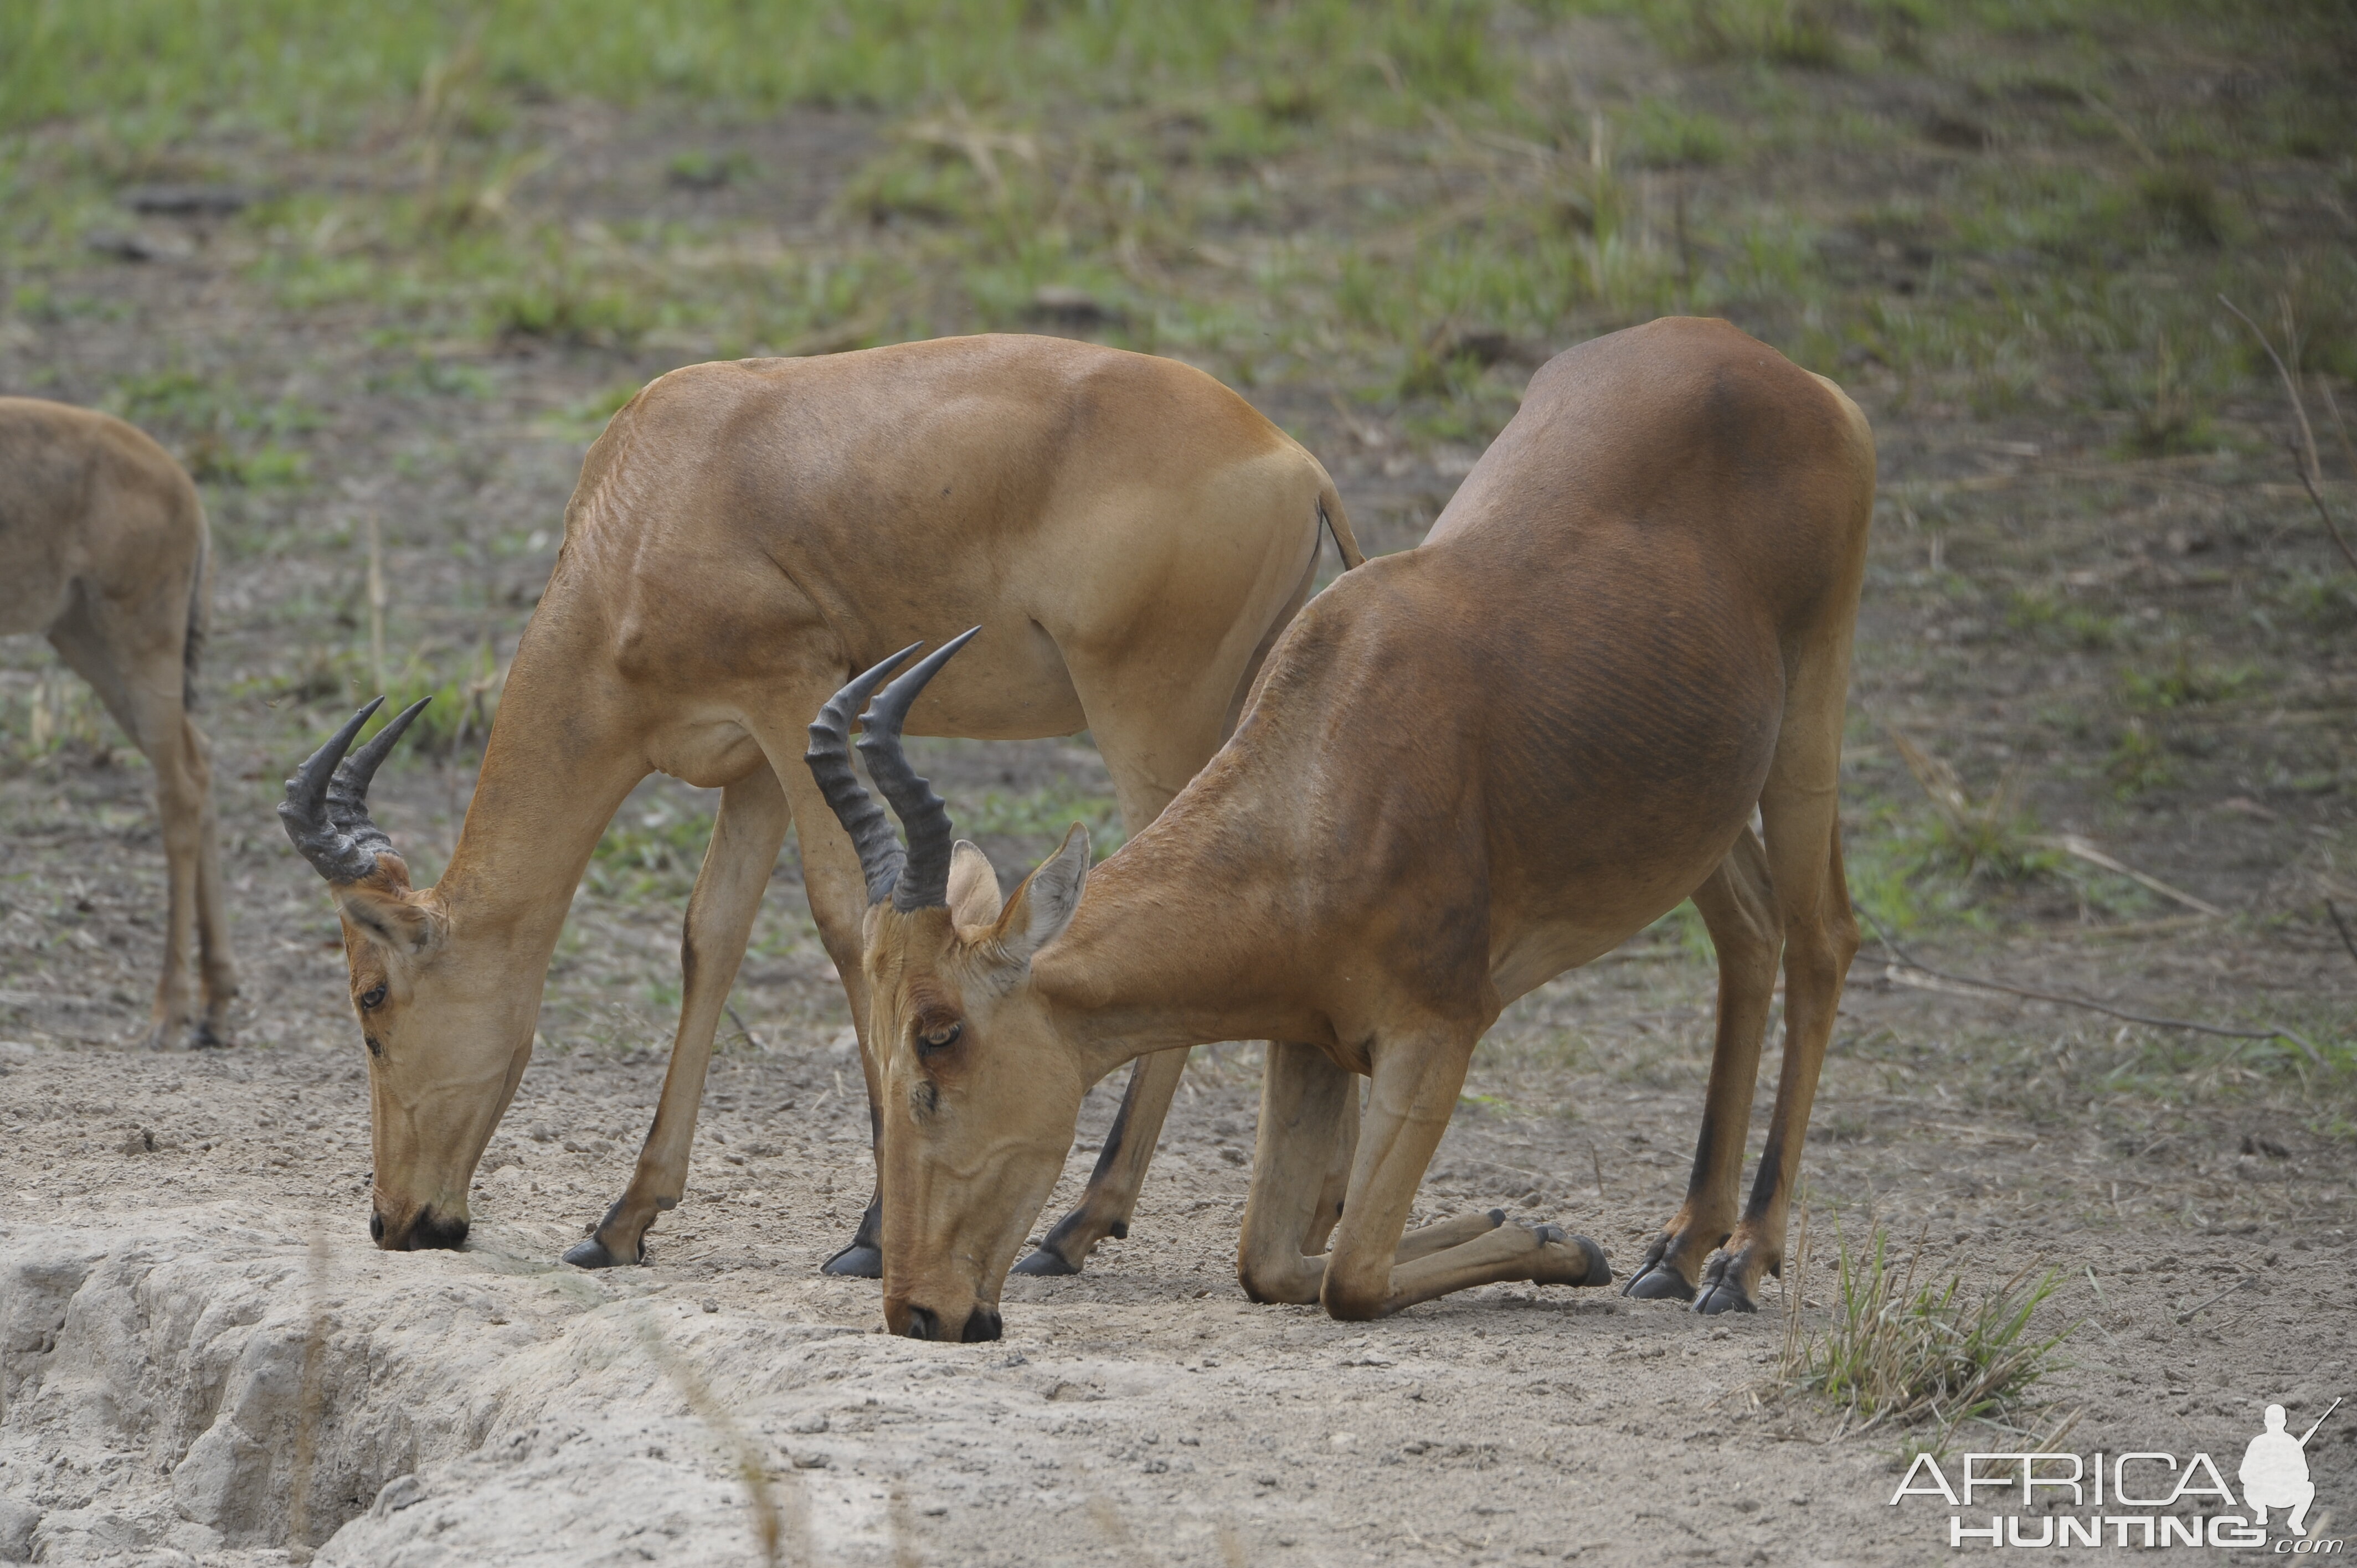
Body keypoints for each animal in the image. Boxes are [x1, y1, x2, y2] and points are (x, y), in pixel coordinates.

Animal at [1, 398, 235, 1046]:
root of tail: (182, 484)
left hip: (137, 643)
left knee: (181, 784)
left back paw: (170, 1010)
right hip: (86, 643)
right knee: (202, 756)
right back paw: (214, 1005)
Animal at [275, 337, 1367, 1263]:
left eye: (371, 998)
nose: (397, 1221)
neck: (660, 487)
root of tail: (1294, 460)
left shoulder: (795, 696)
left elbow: (846, 922)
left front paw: (870, 1236)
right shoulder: (753, 761)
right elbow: (709, 937)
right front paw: (621, 1221)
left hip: (1146, 718)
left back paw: (1077, 1227)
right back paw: (1311, 1213)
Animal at [815, 316, 1876, 1329]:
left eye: (940, 1038)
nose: (920, 1310)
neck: (1326, 770)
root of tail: (1773, 367)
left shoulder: (1438, 1037)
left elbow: (1353, 1275)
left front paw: (1562, 1242)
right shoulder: (1312, 1045)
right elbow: (1274, 1264)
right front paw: (1544, 1231)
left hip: (1809, 715)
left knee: (1823, 937)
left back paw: (1740, 1262)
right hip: (1693, 797)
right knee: (1750, 931)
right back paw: (1679, 1249)